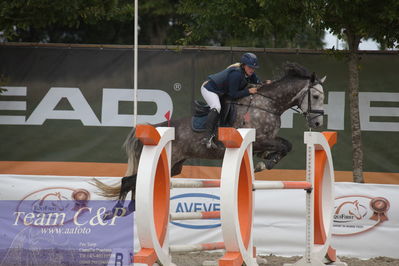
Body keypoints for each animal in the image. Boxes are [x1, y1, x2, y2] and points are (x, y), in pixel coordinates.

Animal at [94, 62, 328, 218]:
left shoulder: (267, 139)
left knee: (136, 181)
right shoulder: (259, 140)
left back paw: (129, 209)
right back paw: (116, 212)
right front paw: (265, 163)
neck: (267, 104)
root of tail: (155, 129)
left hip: (174, 167)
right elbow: (285, 145)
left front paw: (266, 160)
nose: (317, 124)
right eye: (316, 96)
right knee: (128, 181)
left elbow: (286, 145)